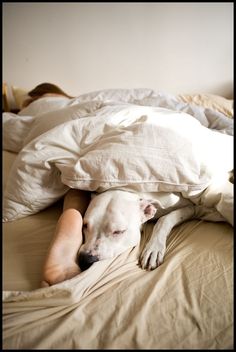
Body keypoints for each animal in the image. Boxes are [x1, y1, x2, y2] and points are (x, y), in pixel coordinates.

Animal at [78, 186, 230, 270]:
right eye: (84, 225)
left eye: (118, 232)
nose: (85, 259)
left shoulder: (192, 207)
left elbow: (164, 220)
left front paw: (153, 249)